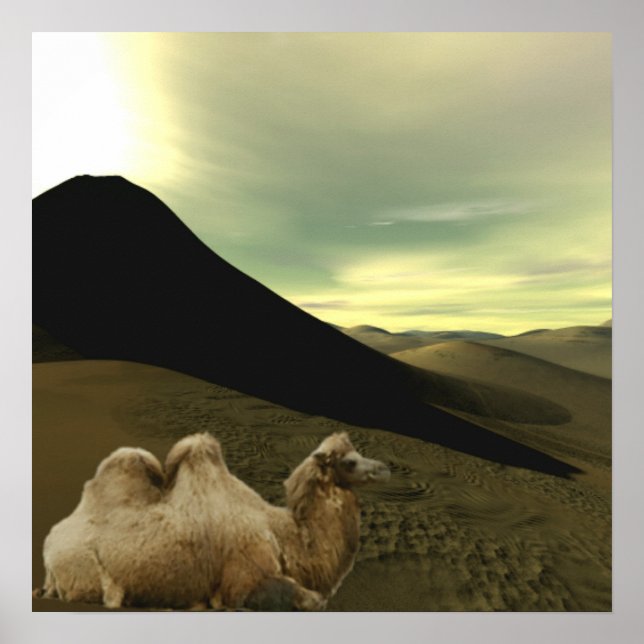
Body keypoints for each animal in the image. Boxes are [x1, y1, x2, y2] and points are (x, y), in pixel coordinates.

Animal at [34, 431, 390, 610]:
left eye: (359, 453)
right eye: (348, 461)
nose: (384, 468)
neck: (287, 537)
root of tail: (49, 547)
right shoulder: (245, 579)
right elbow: (311, 601)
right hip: (83, 573)